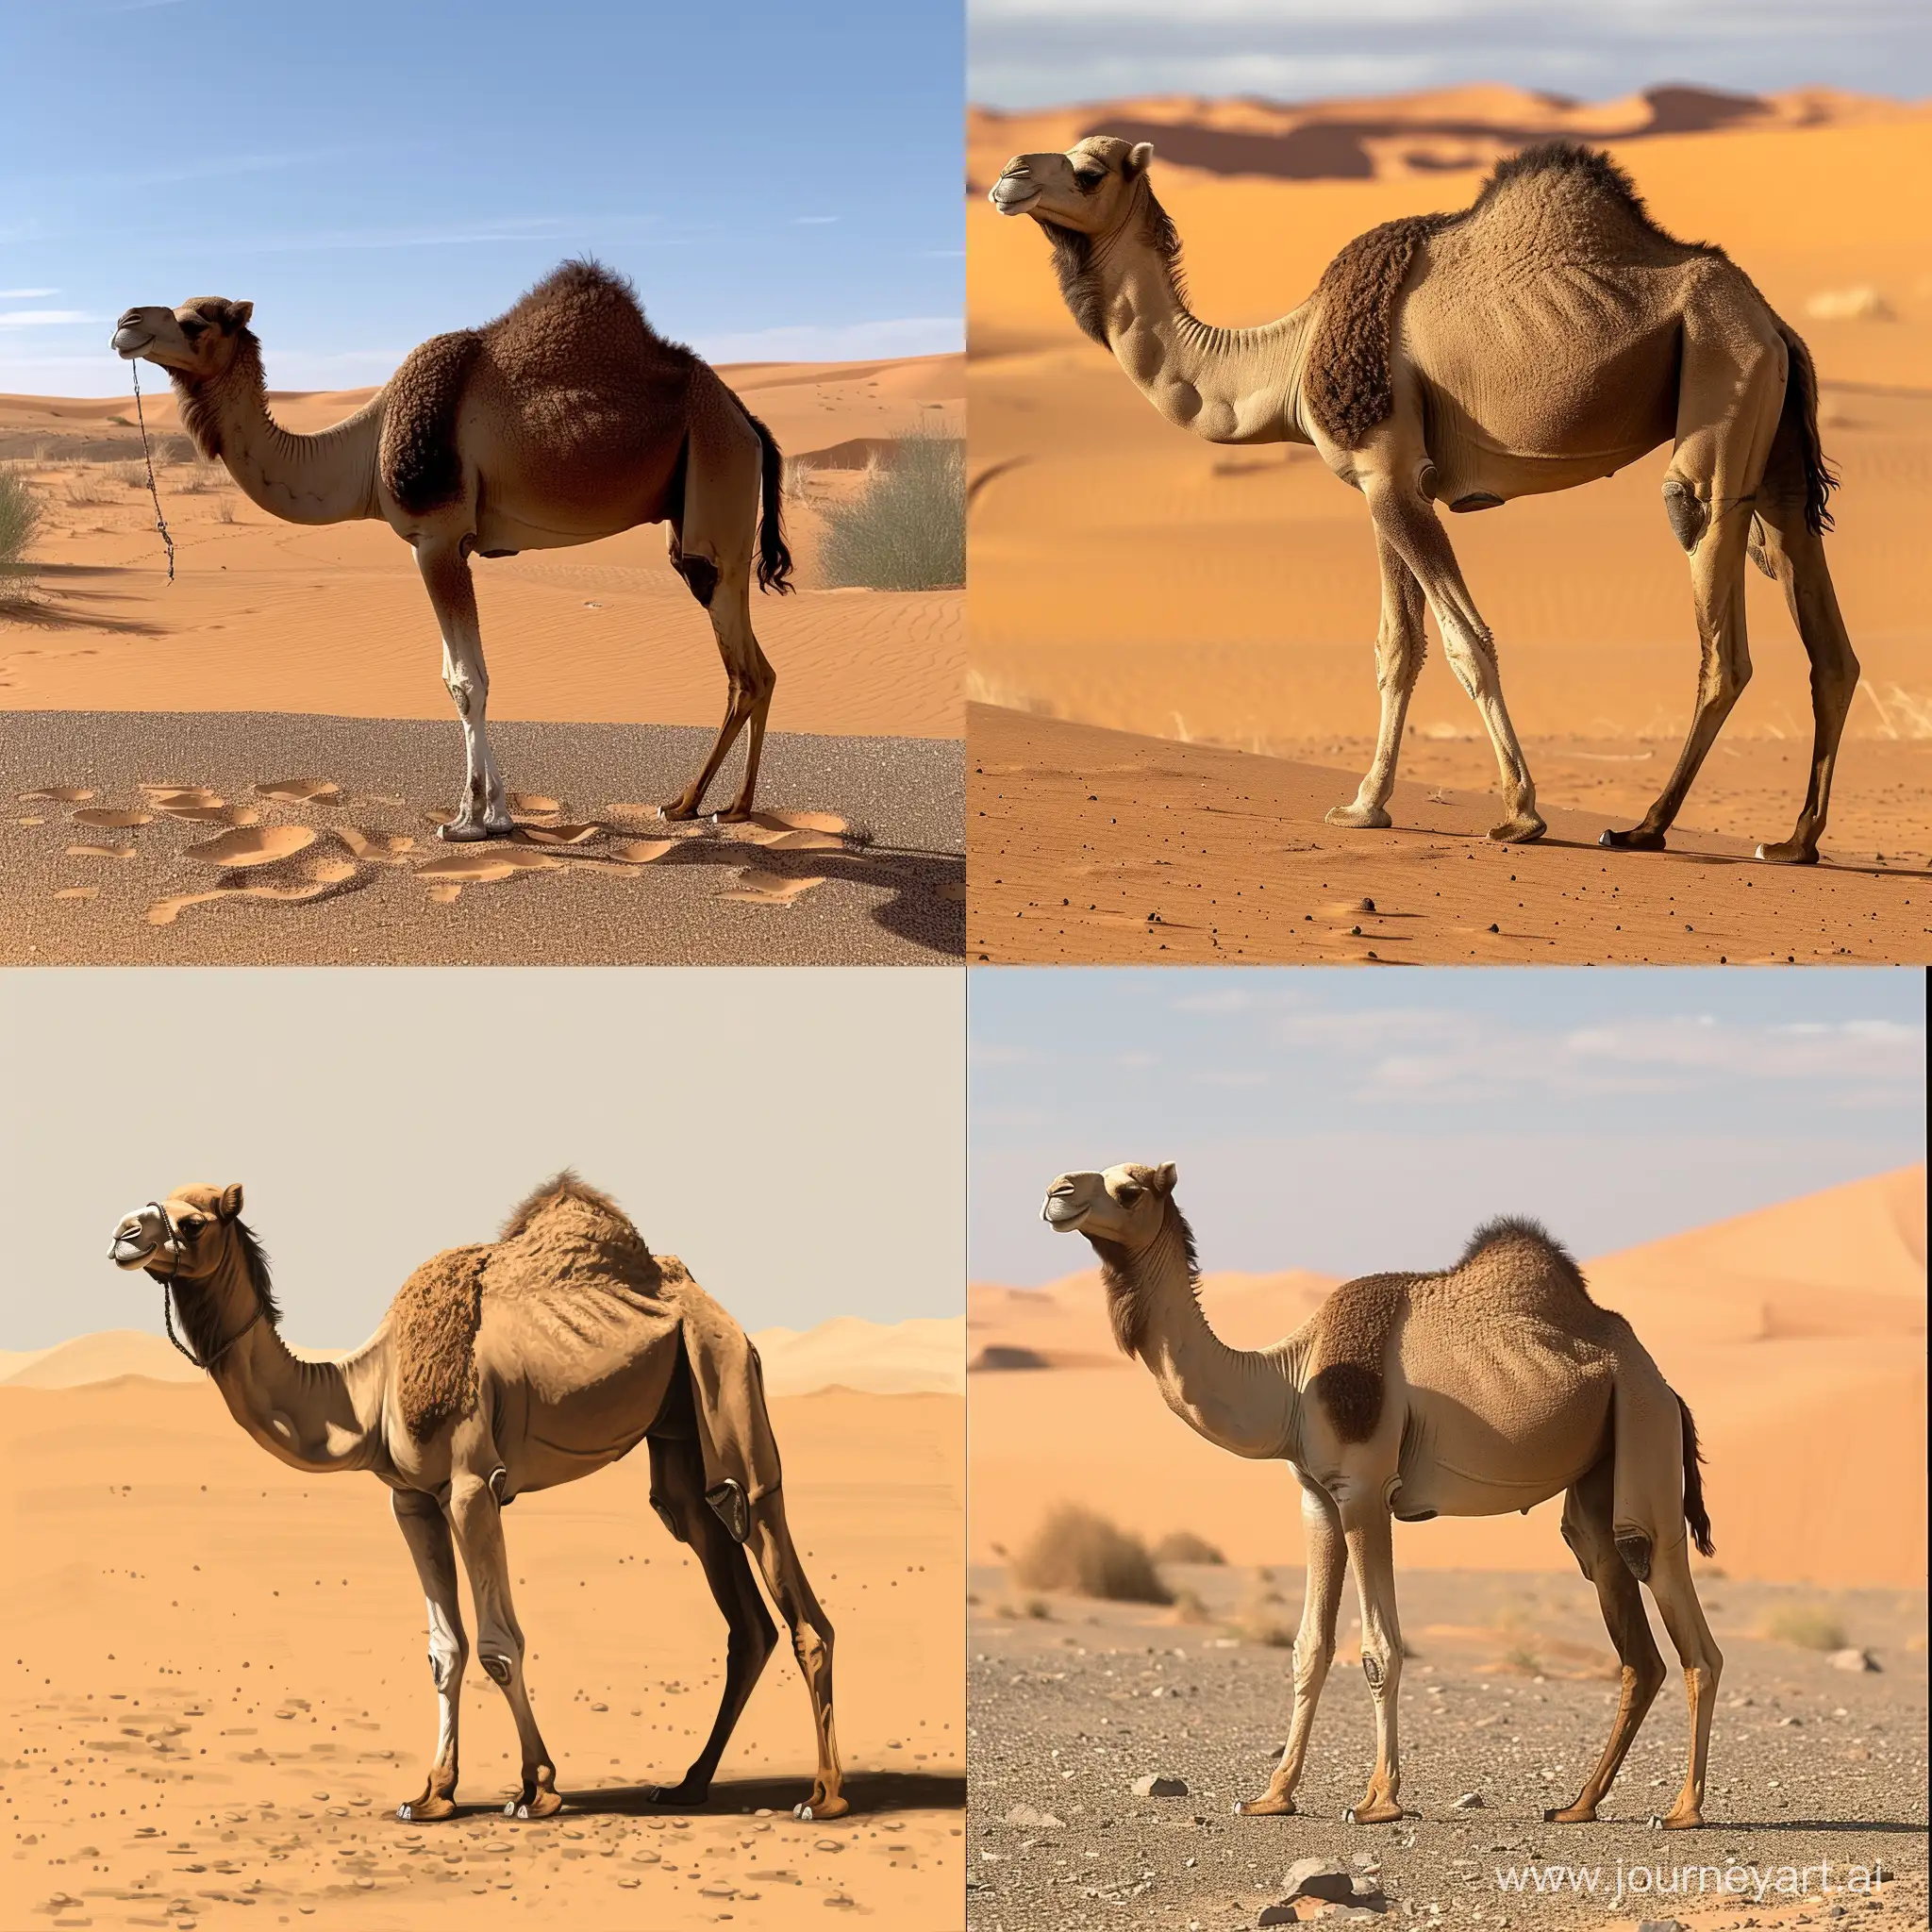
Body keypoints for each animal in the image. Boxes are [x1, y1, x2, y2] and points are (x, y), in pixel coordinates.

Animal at [108, 1174, 846, 1824]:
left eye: (193, 1222)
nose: (122, 1235)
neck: (371, 1387)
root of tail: (706, 1300)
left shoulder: (470, 1487)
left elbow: (497, 1644)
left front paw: (537, 1789)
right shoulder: (411, 1499)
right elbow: (445, 1649)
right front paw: (433, 1794)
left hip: (726, 1372)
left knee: (770, 1534)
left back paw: (823, 1796)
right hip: (677, 1429)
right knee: (723, 1570)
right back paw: (688, 1784)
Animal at [110, 260, 791, 834]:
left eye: (196, 321)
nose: (124, 324)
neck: (365, 453)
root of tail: (749, 421)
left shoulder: (436, 539)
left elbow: (468, 681)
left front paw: (473, 820)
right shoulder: (442, 545)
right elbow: (452, 677)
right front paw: (492, 812)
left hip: (716, 495)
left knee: (744, 665)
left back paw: (702, 804)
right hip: (700, 511)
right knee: (755, 669)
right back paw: (717, 804)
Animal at [996, 136, 1855, 861]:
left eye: (1088, 171)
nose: (1008, 176)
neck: (1288, 356)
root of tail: (1777, 324)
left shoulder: (1388, 472)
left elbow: (1464, 641)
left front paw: (1520, 813)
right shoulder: (1386, 485)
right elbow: (1396, 650)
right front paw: (1364, 806)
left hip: (1722, 369)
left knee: (1713, 596)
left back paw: (1645, 827)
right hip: (1775, 441)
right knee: (1827, 641)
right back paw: (1794, 841)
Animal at [1042, 1158, 1723, 1824]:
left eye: (1129, 1190)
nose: (1056, 1193)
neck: (1291, 1382)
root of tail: (1668, 1387)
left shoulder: (1366, 1491)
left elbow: (1379, 1650)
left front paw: (1379, 1801)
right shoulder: (1318, 1498)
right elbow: (1310, 1648)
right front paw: (1272, 1795)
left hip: (1644, 1422)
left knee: (1676, 1601)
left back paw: (1683, 1809)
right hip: (1599, 1476)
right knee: (1628, 1624)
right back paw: (1579, 1805)